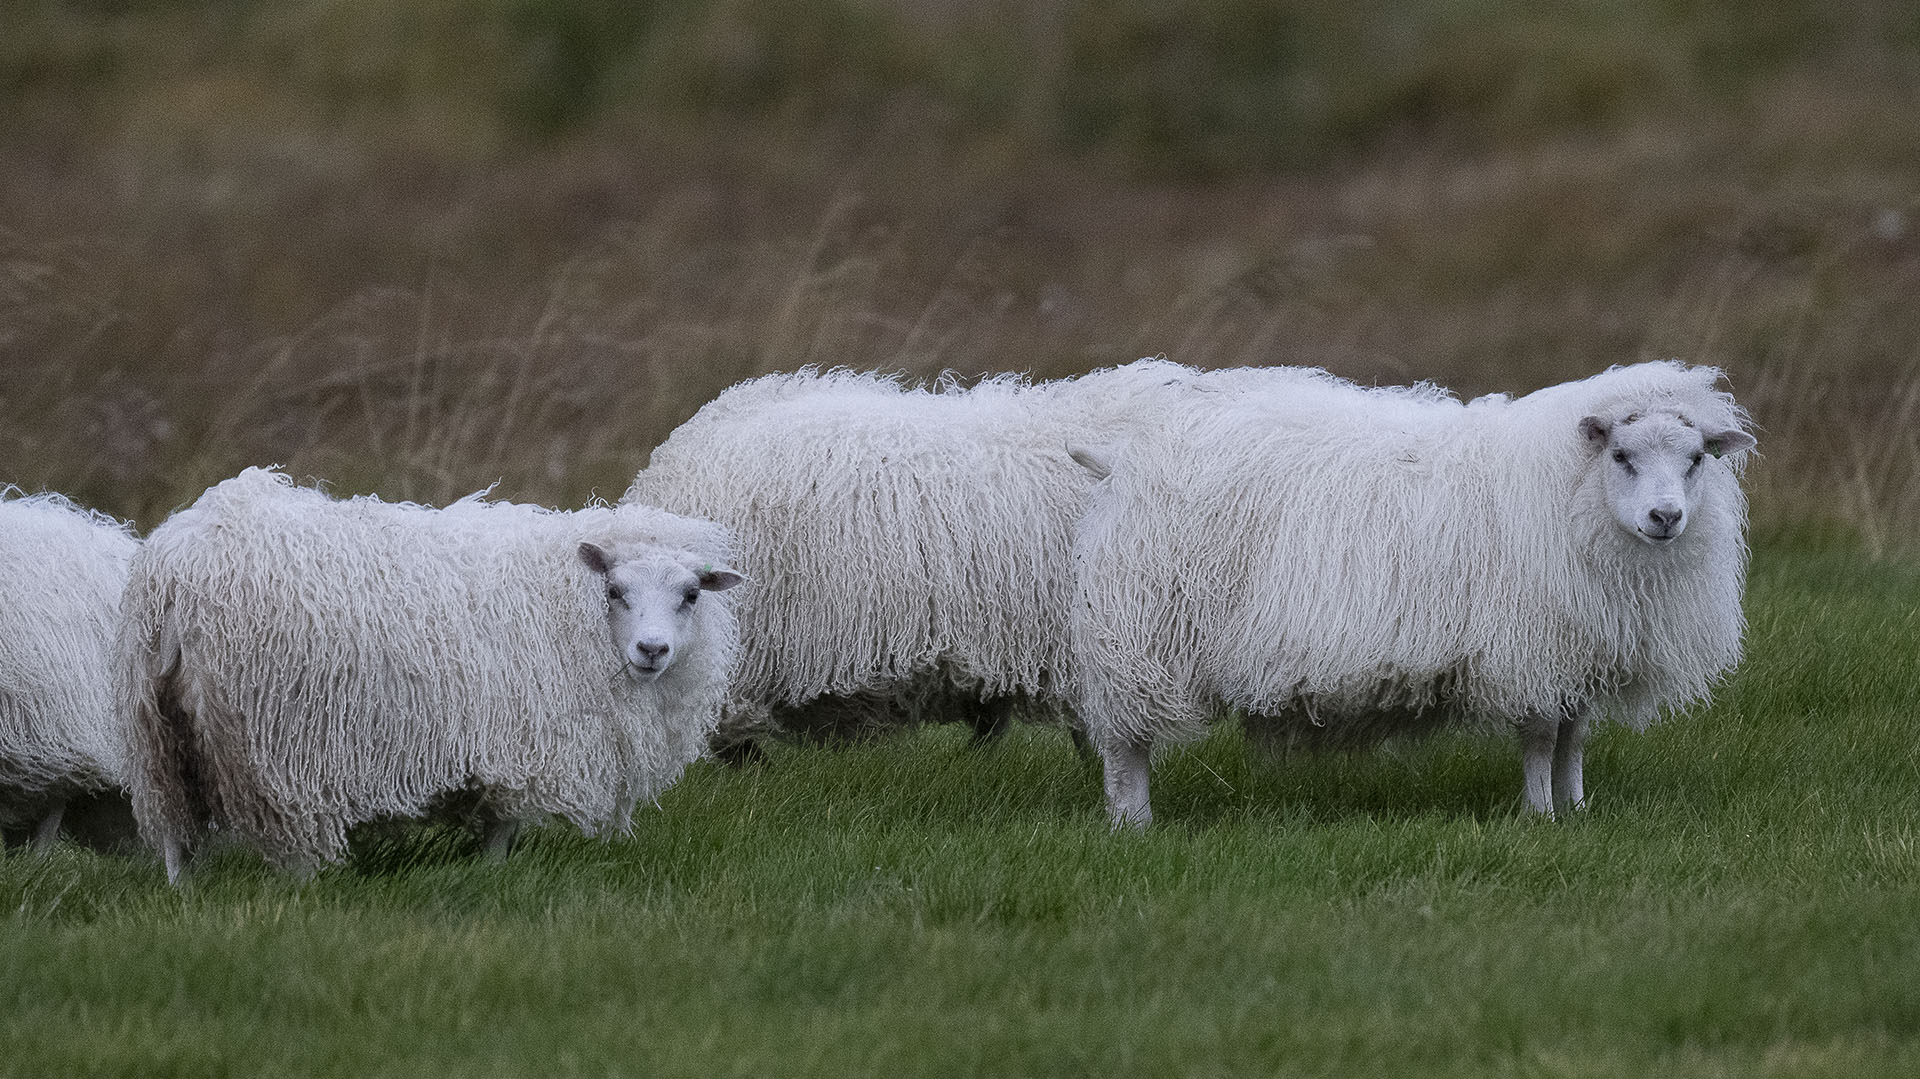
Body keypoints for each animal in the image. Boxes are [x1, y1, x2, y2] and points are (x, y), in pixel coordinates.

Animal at [119, 467, 744, 881]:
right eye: (614, 590)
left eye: (691, 595)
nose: (652, 649)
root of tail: (178, 566)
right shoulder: (519, 747)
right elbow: (502, 827)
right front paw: (493, 880)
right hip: (277, 743)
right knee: (290, 832)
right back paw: (308, 889)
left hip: (159, 729)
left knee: (173, 832)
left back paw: (183, 895)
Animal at [1067, 361, 1757, 826]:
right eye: (1620, 455)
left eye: (1697, 458)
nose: (1665, 517)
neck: (1563, 489)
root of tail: (1123, 459)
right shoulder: (1532, 651)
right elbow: (1539, 740)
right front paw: (1540, 814)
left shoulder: (1579, 654)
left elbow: (1574, 739)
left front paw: (1577, 808)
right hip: (1147, 631)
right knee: (1124, 744)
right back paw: (1133, 823)